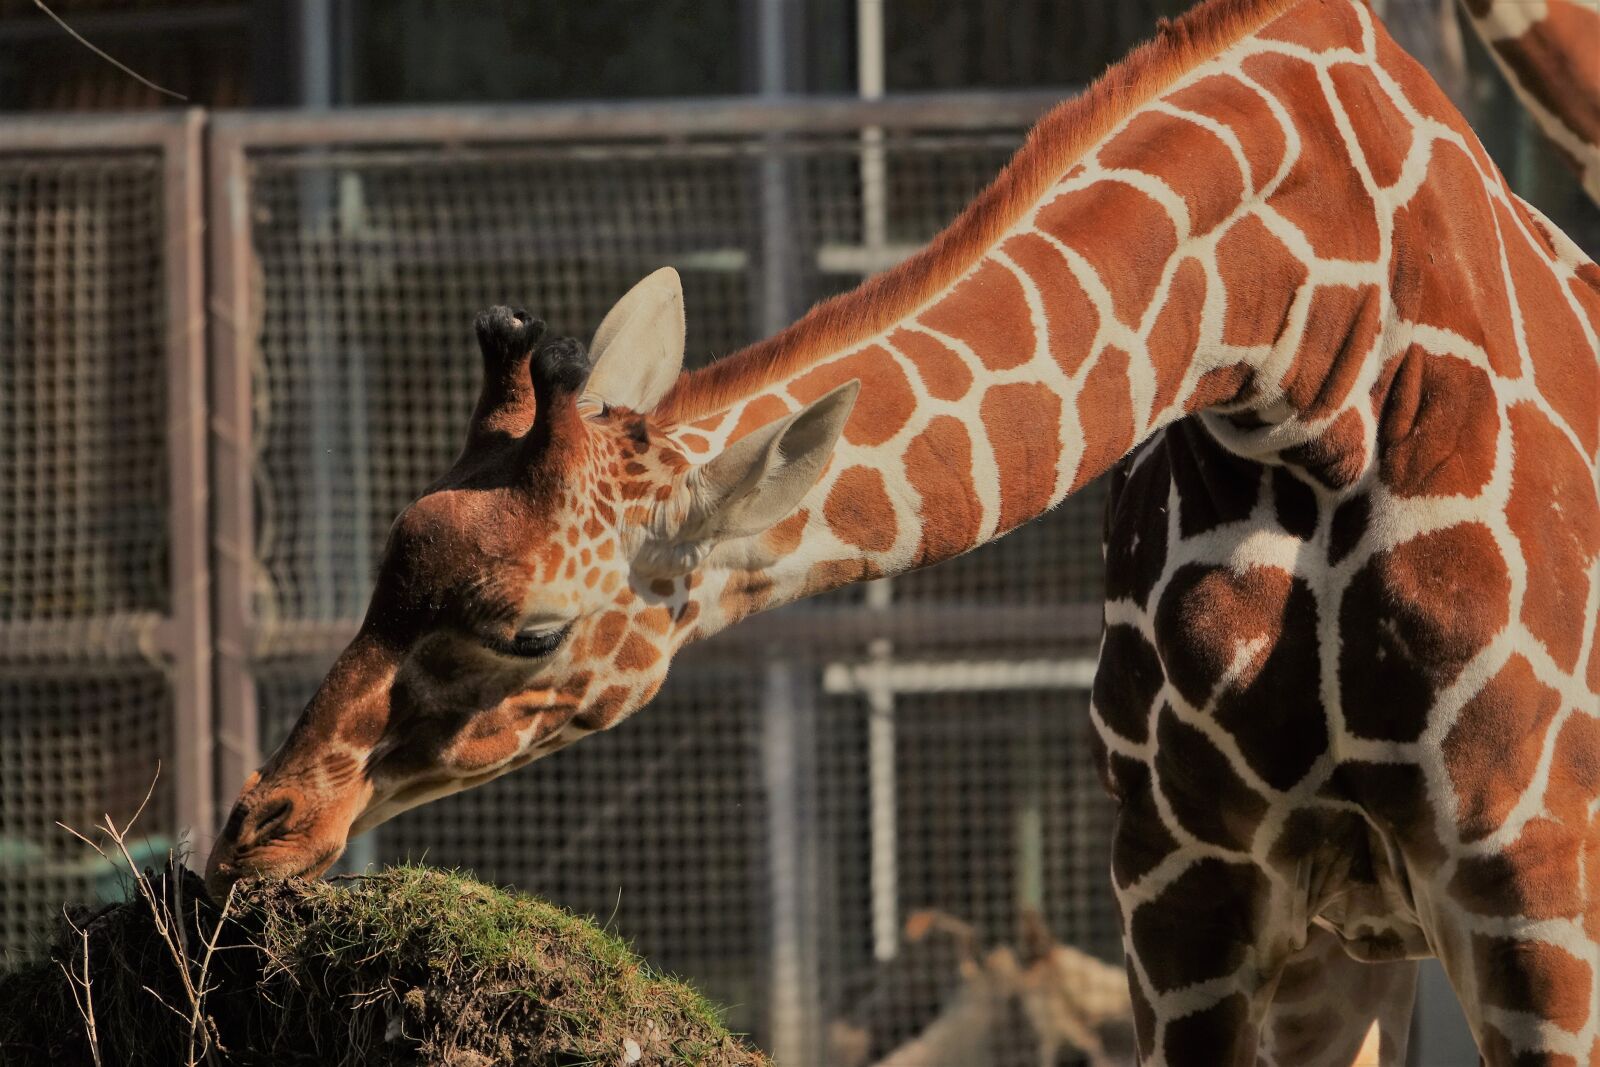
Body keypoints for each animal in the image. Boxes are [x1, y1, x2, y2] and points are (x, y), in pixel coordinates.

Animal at [206, 0, 1600, 1062]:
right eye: (387, 560)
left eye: (531, 629)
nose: (257, 825)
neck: (1306, 363)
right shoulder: (1184, 887)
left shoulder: (1531, 880)